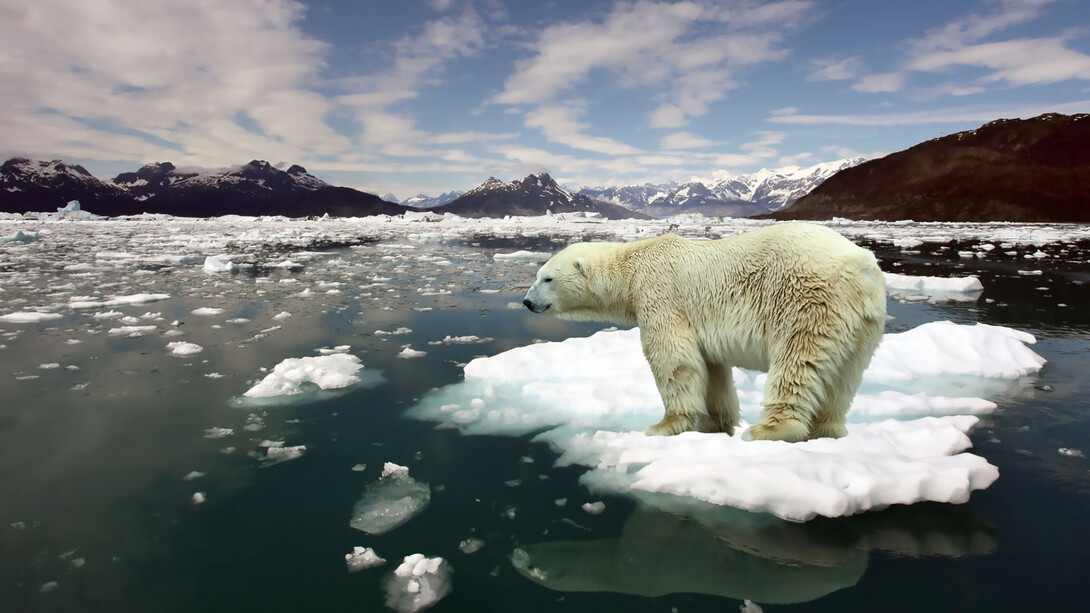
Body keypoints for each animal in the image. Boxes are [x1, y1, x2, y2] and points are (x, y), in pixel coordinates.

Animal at [522, 222, 887, 442]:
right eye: (538, 275)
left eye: (547, 278)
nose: (526, 302)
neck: (633, 268)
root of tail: (861, 267)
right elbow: (712, 370)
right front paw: (716, 424)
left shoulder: (661, 295)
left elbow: (674, 359)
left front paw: (663, 426)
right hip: (863, 324)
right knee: (844, 377)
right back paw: (827, 430)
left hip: (807, 299)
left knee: (797, 360)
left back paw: (768, 430)